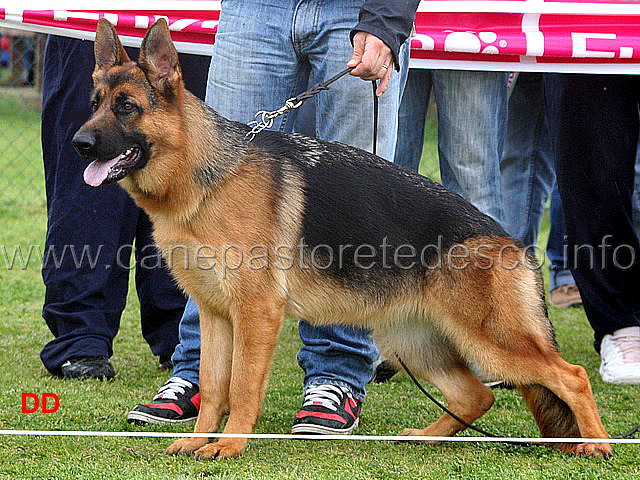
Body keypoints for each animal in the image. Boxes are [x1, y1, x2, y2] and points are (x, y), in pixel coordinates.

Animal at [72, 18, 612, 460]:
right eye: (95, 105)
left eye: (127, 108)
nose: (77, 143)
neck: (206, 177)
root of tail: (509, 241)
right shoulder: (215, 315)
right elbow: (213, 387)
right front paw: (198, 439)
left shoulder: (256, 314)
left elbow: (242, 387)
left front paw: (228, 446)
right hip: (413, 341)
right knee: (477, 394)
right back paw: (426, 437)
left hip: (491, 342)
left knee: (571, 376)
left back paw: (598, 447)